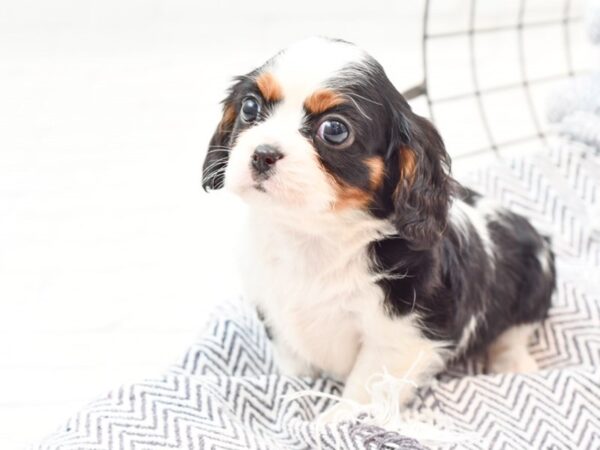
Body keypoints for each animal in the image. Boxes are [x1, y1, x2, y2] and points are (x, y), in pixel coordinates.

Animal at [200, 37, 552, 408]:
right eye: (250, 108)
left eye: (334, 130)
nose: (263, 154)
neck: (312, 234)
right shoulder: (276, 318)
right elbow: (295, 371)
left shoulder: (399, 338)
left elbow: (362, 395)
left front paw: (332, 420)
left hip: (534, 288)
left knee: (512, 336)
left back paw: (513, 363)